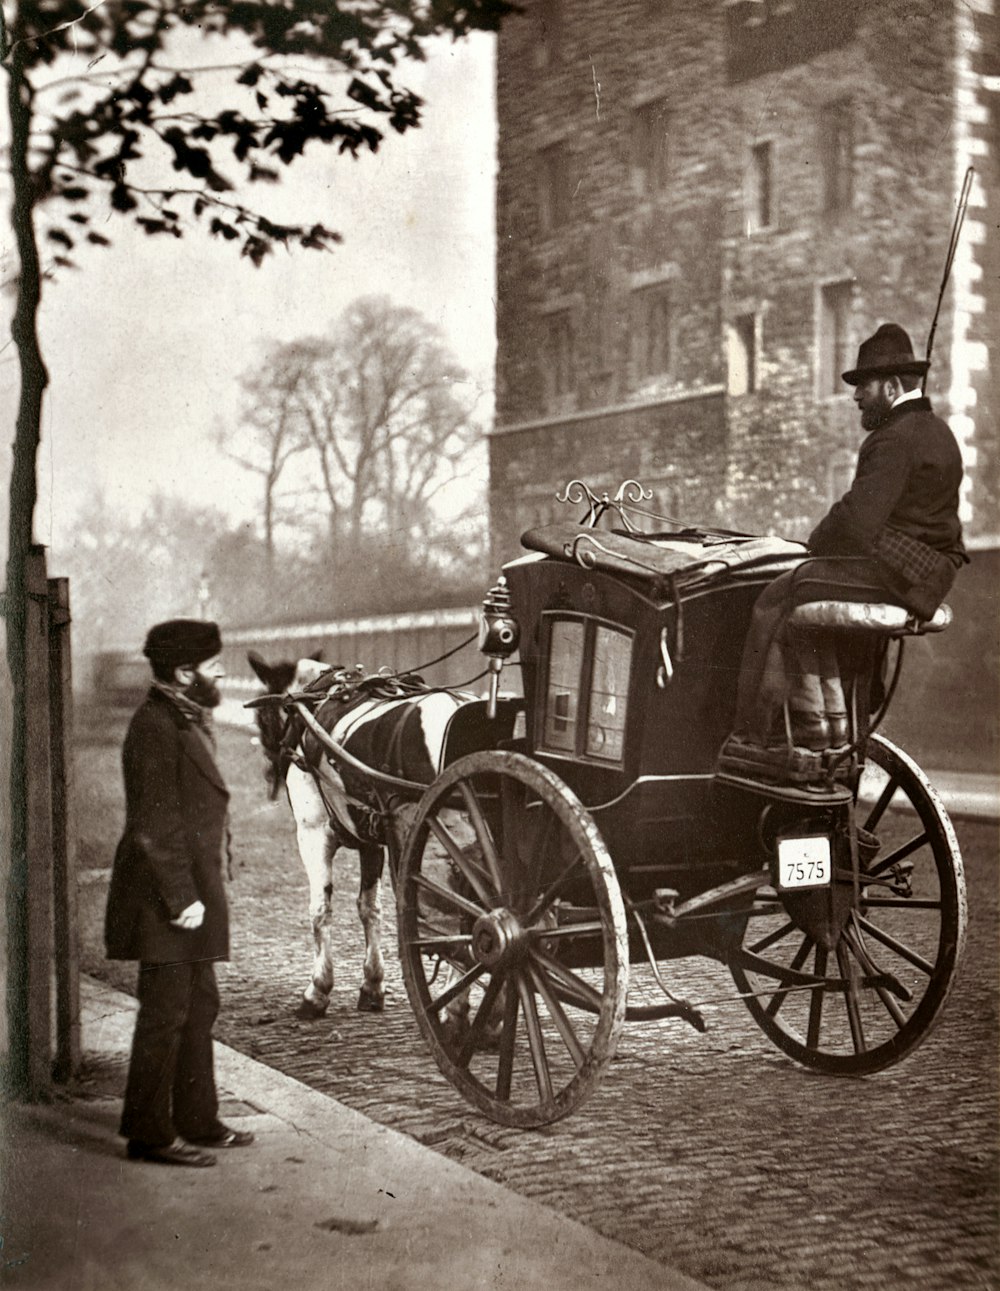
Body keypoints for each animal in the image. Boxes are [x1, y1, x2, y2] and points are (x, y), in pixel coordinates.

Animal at [245, 650, 472, 1022]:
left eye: (263, 719)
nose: (269, 775)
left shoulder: (313, 833)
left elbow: (320, 909)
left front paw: (318, 991)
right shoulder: (371, 838)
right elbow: (369, 907)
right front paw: (372, 986)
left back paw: (457, 1008)